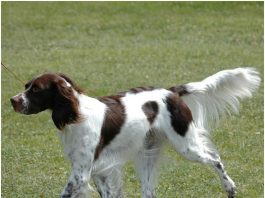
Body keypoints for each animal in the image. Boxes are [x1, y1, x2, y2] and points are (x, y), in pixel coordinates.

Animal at [11, 67, 258, 197]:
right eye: (26, 86)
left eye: (36, 90)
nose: (13, 100)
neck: (76, 114)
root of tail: (171, 92)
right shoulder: (98, 170)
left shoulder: (81, 173)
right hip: (146, 156)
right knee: (149, 191)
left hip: (186, 145)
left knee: (215, 159)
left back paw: (230, 187)